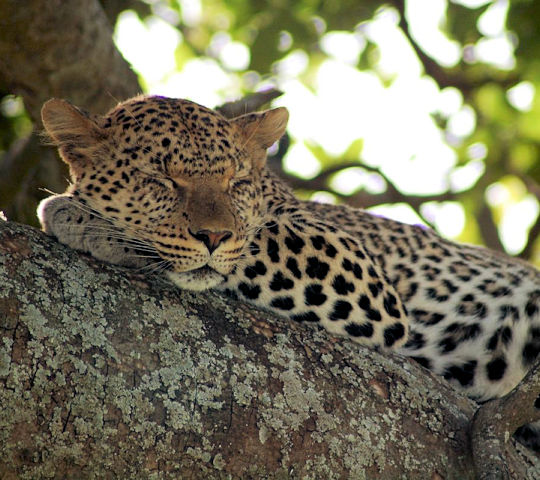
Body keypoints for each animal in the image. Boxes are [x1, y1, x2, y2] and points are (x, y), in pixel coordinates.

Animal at [35, 93, 536, 450]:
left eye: (235, 182)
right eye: (160, 180)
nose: (212, 236)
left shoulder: (358, 273)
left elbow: (255, 239)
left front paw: (79, 216)